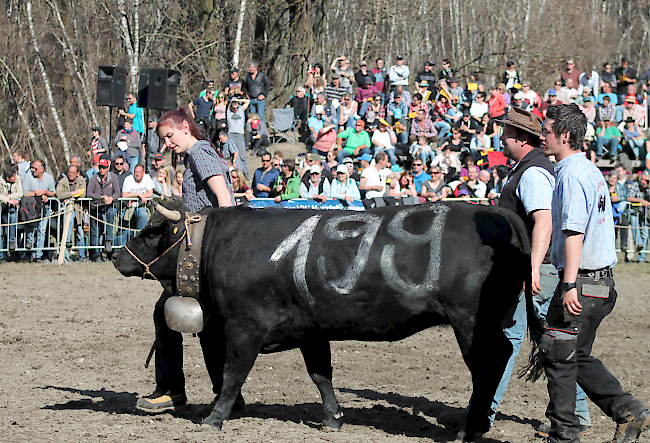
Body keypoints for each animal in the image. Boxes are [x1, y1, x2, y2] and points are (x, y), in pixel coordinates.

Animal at [112, 199, 536, 442]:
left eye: (150, 230)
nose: (116, 256)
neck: (218, 245)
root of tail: (497, 212)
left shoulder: (245, 327)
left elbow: (233, 374)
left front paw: (215, 417)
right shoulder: (311, 329)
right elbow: (321, 374)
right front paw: (334, 417)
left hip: (472, 322)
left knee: (489, 365)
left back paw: (469, 429)